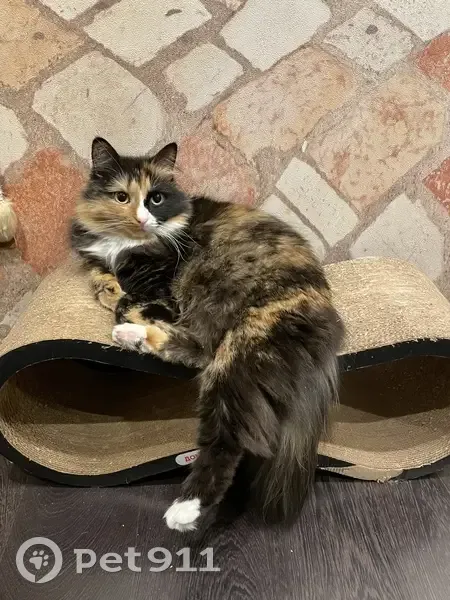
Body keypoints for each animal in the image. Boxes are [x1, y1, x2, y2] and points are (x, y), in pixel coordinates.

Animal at [71, 137, 344, 532]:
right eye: (122, 197)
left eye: (156, 198)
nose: (142, 218)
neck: (127, 245)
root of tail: (328, 318)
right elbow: (100, 280)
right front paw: (107, 286)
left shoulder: (162, 290)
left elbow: (127, 301)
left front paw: (122, 301)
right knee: (198, 349)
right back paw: (130, 336)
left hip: (238, 352)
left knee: (227, 436)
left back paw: (185, 510)